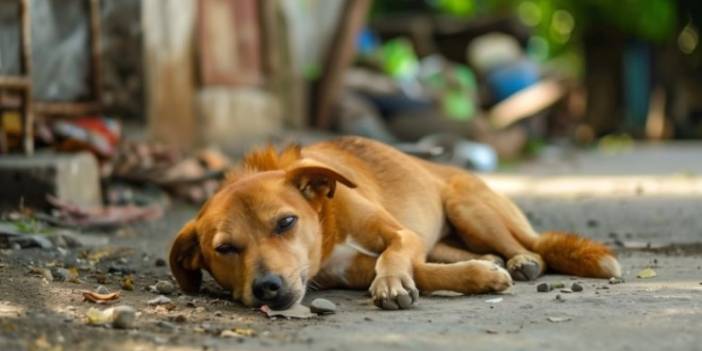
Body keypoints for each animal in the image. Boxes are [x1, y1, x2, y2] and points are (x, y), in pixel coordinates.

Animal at [170, 138, 620, 310]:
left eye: (286, 222)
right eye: (225, 249)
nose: (268, 288)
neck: (327, 224)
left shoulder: (402, 234)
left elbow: (395, 256)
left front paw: (390, 284)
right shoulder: (350, 270)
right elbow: (423, 271)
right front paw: (479, 276)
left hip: (468, 207)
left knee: (530, 246)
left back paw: (522, 260)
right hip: (448, 233)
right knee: (455, 252)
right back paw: (492, 261)